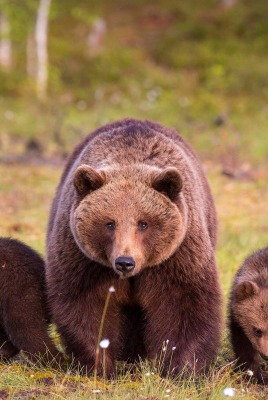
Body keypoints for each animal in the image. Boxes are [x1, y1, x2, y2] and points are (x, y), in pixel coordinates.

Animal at [46, 117, 222, 376]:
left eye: (143, 223)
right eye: (109, 223)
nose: (125, 262)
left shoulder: (177, 256)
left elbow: (185, 302)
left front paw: (182, 368)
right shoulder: (85, 260)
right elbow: (86, 305)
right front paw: (100, 364)